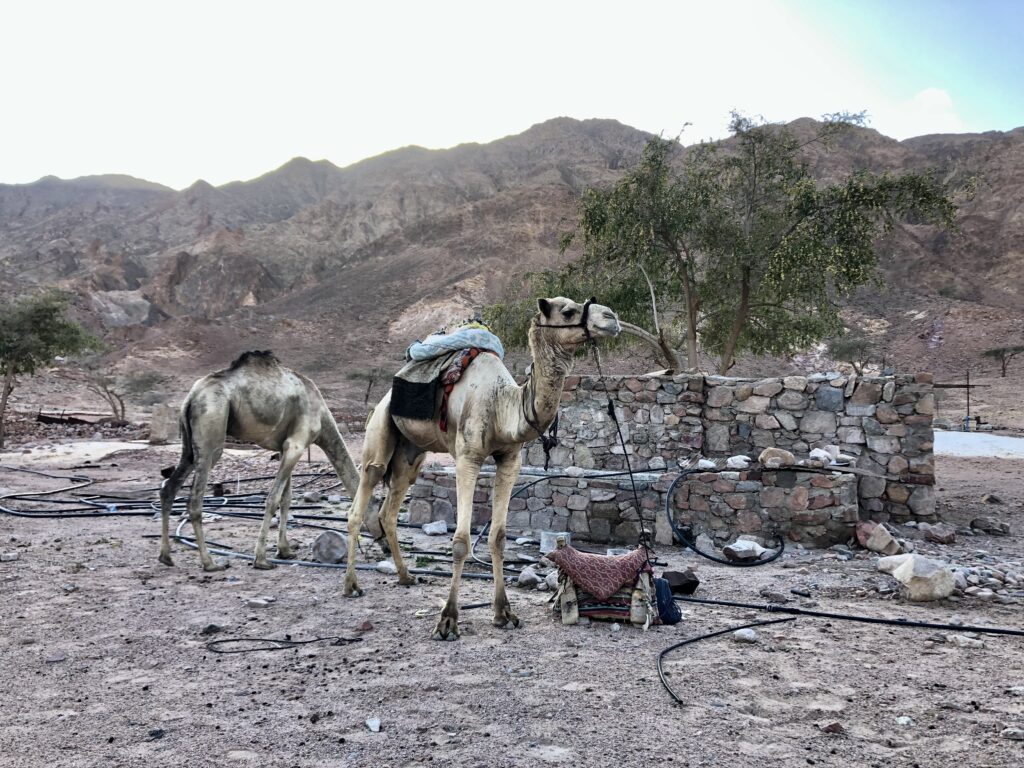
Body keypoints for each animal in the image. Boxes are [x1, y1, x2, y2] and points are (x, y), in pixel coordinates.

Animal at [158, 350, 365, 571]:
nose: (382, 544)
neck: (323, 417)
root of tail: (192, 396)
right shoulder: (297, 444)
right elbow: (273, 499)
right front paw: (261, 559)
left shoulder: (285, 448)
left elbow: (286, 498)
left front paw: (284, 551)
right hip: (212, 424)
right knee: (195, 498)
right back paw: (210, 562)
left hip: (189, 443)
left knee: (169, 487)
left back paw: (166, 556)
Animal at [343, 297, 621, 640]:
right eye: (567, 311)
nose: (611, 317)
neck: (504, 404)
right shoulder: (468, 457)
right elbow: (461, 542)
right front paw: (448, 621)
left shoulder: (509, 459)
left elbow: (498, 538)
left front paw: (504, 614)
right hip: (380, 429)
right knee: (362, 496)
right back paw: (352, 585)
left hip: (411, 454)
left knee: (389, 510)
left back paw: (406, 576)